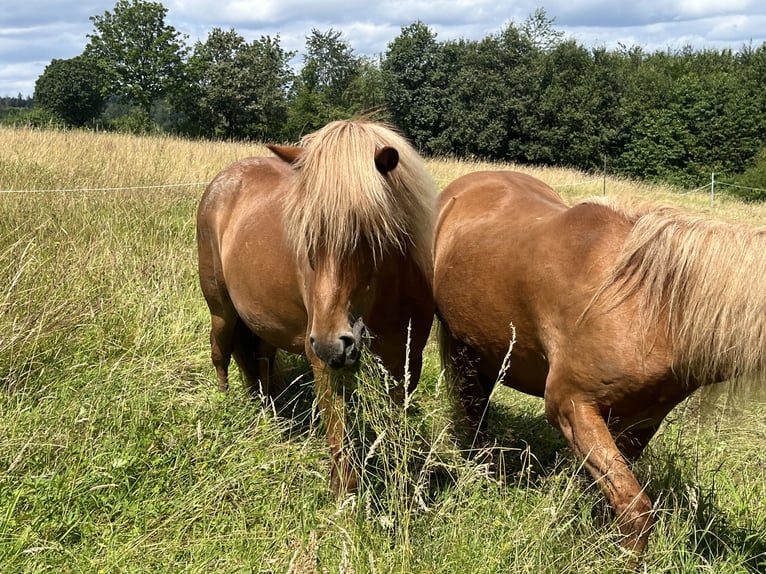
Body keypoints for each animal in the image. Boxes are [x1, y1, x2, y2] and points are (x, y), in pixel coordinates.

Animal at [196, 119, 436, 495]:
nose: (330, 343)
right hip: (222, 311)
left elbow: (395, 426)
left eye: (370, 235)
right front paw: (345, 494)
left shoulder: (405, 362)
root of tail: (224, 180)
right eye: (306, 235)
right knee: (220, 352)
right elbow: (339, 430)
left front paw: (400, 483)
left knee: (262, 358)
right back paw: (224, 406)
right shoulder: (326, 363)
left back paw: (268, 408)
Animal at [433, 170, 766, 554]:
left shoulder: (639, 423)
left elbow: (606, 494)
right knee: (473, 409)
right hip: (462, 350)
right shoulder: (571, 407)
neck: (647, 305)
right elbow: (635, 509)